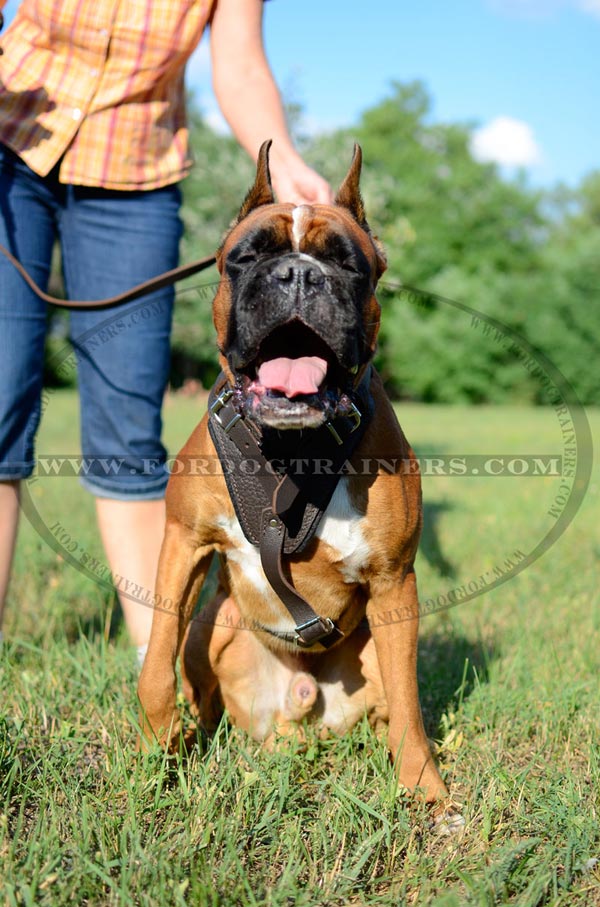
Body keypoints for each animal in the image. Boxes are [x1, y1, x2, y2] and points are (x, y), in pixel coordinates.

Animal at [137, 140, 450, 800]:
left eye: (348, 264)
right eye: (248, 256)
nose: (300, 275)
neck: (290, 449)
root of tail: (294, 710)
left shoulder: (395, 582)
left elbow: (410, 708)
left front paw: (425, 792)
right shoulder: (182, 543)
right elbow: (155, 662)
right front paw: (154, 749)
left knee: (389, 704)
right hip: (213, 624)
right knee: (200, 684)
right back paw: (192, 737)